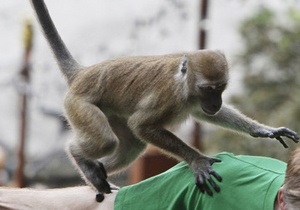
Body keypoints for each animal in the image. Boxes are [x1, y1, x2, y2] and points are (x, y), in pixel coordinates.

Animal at [29, 0, 298, 201]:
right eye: (207, 89)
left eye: (221, 88)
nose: (216, 102)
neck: (184, 84)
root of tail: (82, 73)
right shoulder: (169, 97)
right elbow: (141, 125)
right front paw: (197, 160)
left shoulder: (194, 102)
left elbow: (205, 115)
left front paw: (263, 130)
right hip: (78, 104)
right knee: (106, 140)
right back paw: (79, 156)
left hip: (110, 112)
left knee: (132, 145)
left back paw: (96, 176)